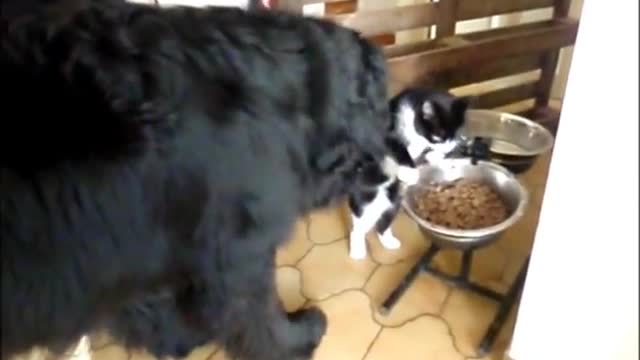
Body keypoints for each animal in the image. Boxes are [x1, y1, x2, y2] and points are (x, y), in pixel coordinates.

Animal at [1, 1, 390, 358]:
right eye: (381, 109)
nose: (383, 166)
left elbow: (151, 309)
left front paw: (179, 339)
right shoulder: (236, 255)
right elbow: (257, 314)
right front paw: (297, 338)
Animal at [350, 88, 470, 260]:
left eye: (455, 136)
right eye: (438, 136)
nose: (448, 148)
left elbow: (429, 153)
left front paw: (441, 159)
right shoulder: (386, 133)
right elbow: (398, 148)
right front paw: (409, 171)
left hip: (394, 201)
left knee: (384, 220)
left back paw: (389, 242)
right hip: (367, 196)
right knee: (359, 225)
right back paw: (357, 251)